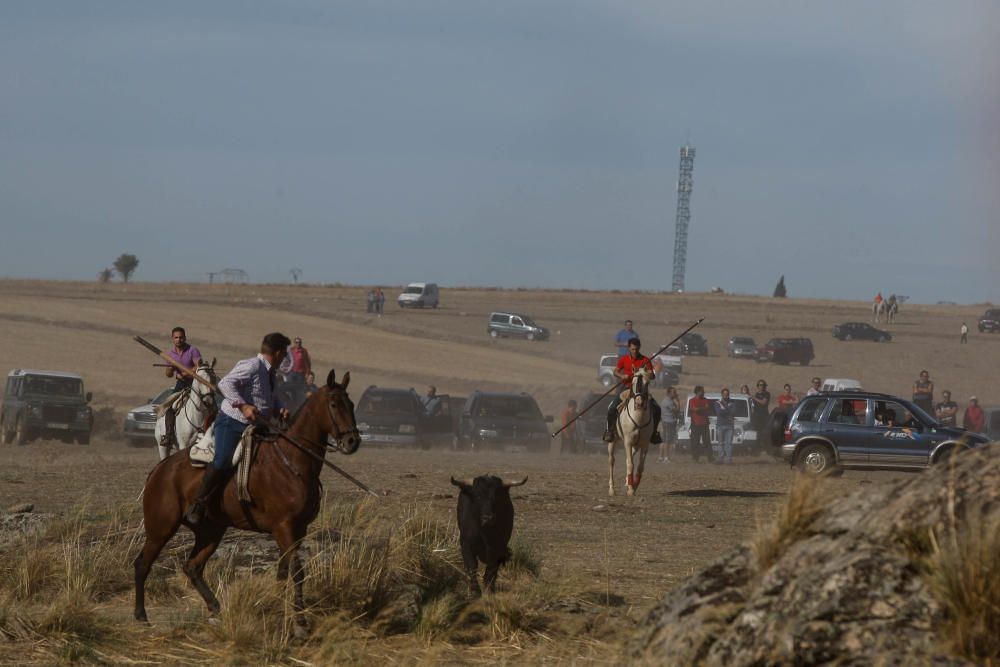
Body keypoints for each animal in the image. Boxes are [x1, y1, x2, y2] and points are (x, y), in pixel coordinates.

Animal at [132, 370, 360, 636]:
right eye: (334, 404)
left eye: (351, 404)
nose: (353, 441)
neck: (292, 462)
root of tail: (160, 469)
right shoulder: (284, 527)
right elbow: (296, 570)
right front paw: (301, 623)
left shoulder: (298, 529)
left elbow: (283, 571)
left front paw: (277, 607)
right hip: (161, 528)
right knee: (143, 564)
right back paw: (141, 616)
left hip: (211, 531)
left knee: (193, 567)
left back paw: (216, 609)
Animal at [608, 368, 656, 498]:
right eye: (633, 382)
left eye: (647, 383)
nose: (639, 403)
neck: (639, 418)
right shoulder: (628, 442)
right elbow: (631, 464)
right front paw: (630, 489)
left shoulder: (645, 444)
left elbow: (639, 467)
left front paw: (634, 485)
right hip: (612, 441)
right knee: (612, 461)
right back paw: (612, 489)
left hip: (636, 445)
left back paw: (626, 482)